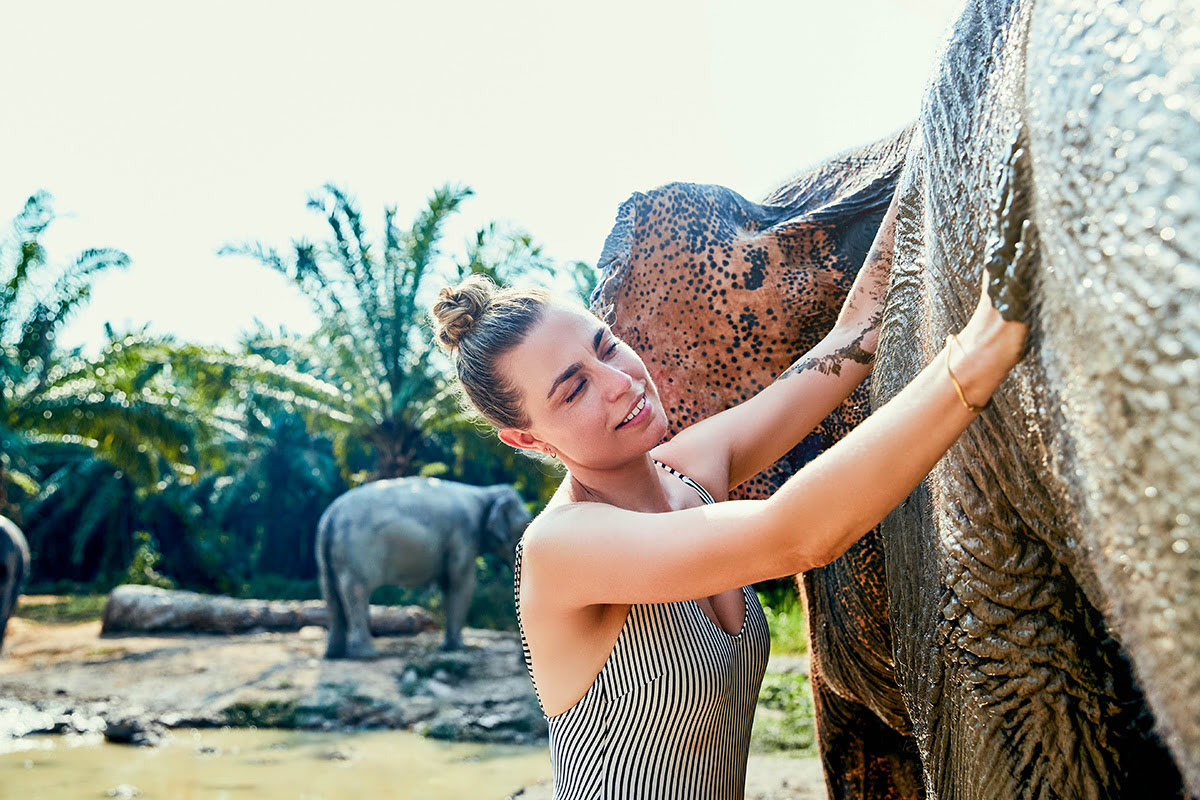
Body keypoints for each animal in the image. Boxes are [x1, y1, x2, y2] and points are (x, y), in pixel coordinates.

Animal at [319, 474, 530, 657]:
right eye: (523, 529)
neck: (484, 493)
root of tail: (330, 516)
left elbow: (448, 584)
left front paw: (450, 646)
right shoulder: (464, 535)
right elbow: (462, 583)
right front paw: (458, 647)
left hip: (329, 557)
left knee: (331, 593)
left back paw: (334, 654)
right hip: (356, 551)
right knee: (356, 591)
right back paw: (366, 655)